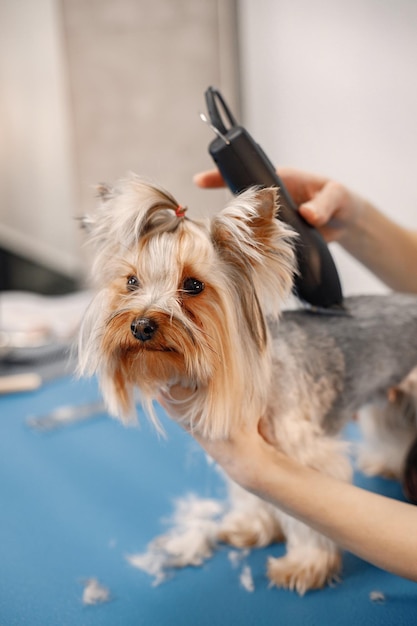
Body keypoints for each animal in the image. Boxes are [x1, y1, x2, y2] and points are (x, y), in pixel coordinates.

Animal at [79, 173, 416, 592]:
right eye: (131, 282)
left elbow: (308, 519)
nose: (140, 325)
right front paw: (255, 527)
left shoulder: (301, 458)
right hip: (390, 399)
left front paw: (305, 565)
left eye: (193, 285)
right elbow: (255, 495)